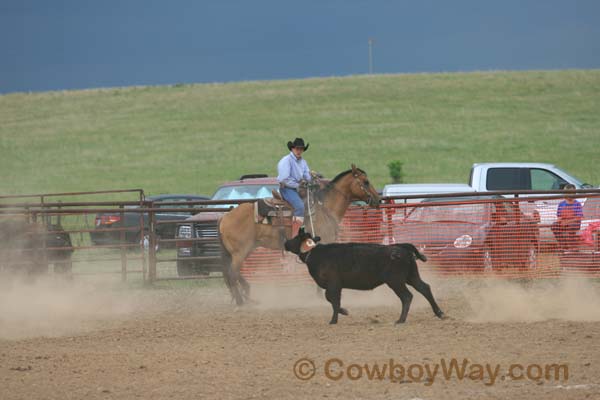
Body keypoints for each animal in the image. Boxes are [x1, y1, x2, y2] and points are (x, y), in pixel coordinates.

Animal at [219, 164, 380, 304]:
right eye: (366, 182)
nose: (378, 200)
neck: (325, 208)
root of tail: (225, 217)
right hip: (240, 251)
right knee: (232, 273)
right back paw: (241, 301)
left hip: (244, 249)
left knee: (232, 273)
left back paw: (247, 295)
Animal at [284, 228, 446, 324]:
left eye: (295, 238)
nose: (285, 242)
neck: (315, 253)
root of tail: (400, 247)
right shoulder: (334, 286)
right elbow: (331, 300)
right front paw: (343, 312)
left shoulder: (333, 284)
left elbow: (333, 300)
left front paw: (334, 319)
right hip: (411, 276)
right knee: (425, 288)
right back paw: (439, 313)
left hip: (396, 281)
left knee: (407, 296)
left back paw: (400, 320)